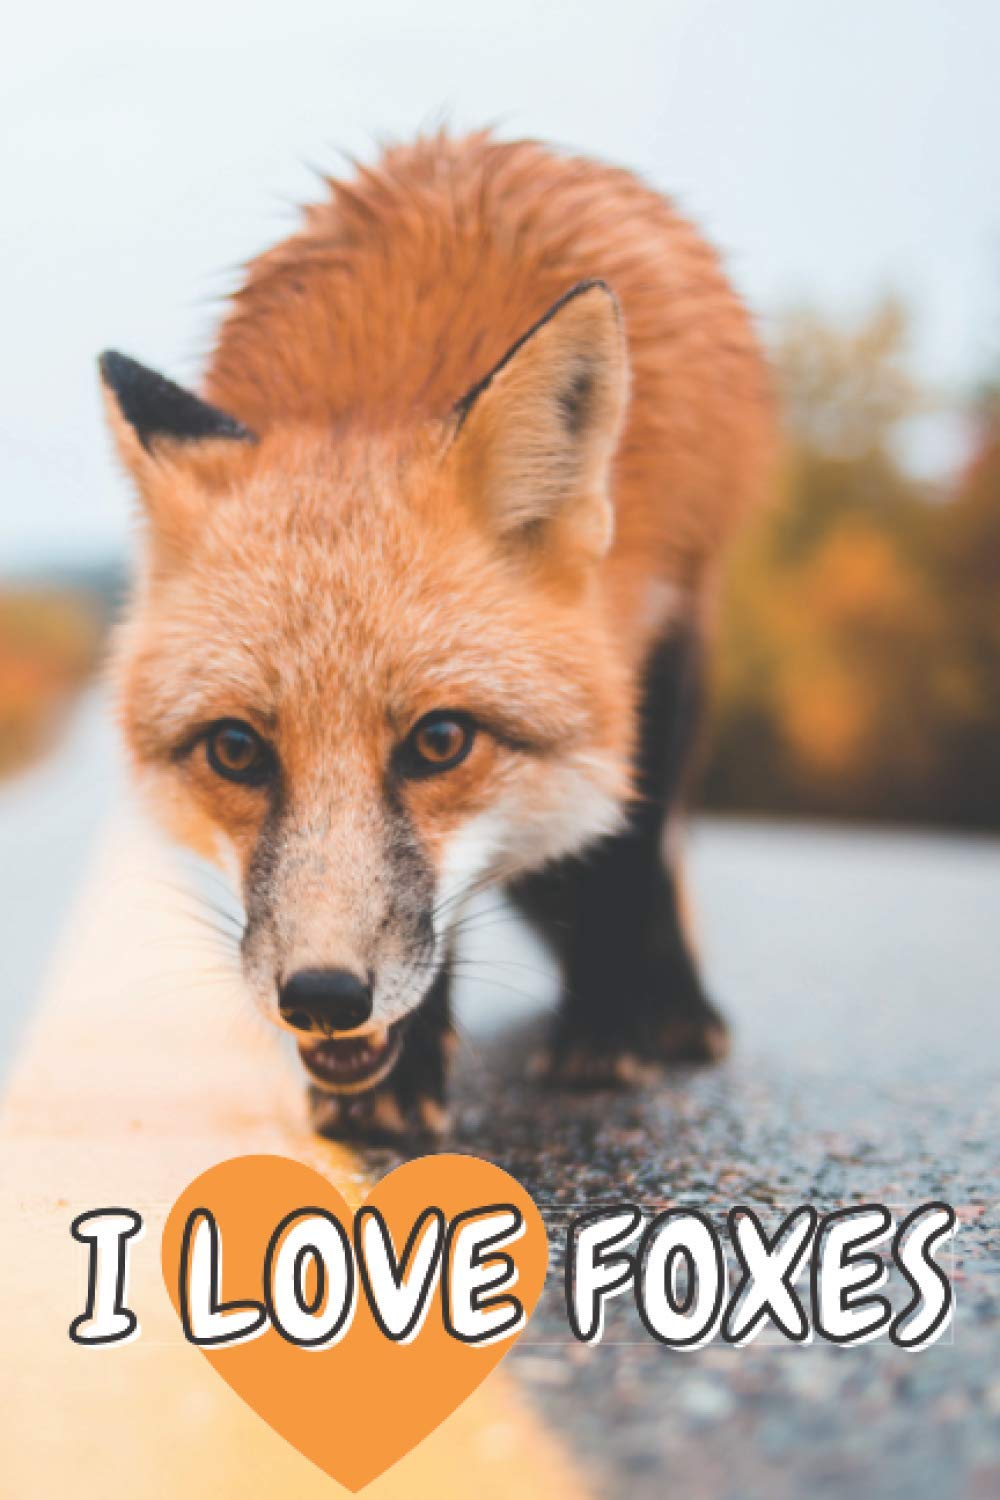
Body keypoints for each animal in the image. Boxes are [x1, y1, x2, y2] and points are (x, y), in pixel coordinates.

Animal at [100, 131, 774, 1141]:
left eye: (441, 741)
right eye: (235, 750)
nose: (324, 998)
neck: (370, 391)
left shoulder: (650, 642)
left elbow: (621, 859)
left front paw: (602, 1033)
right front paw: (397, 1081)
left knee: (643, 849)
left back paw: (669, 1008)